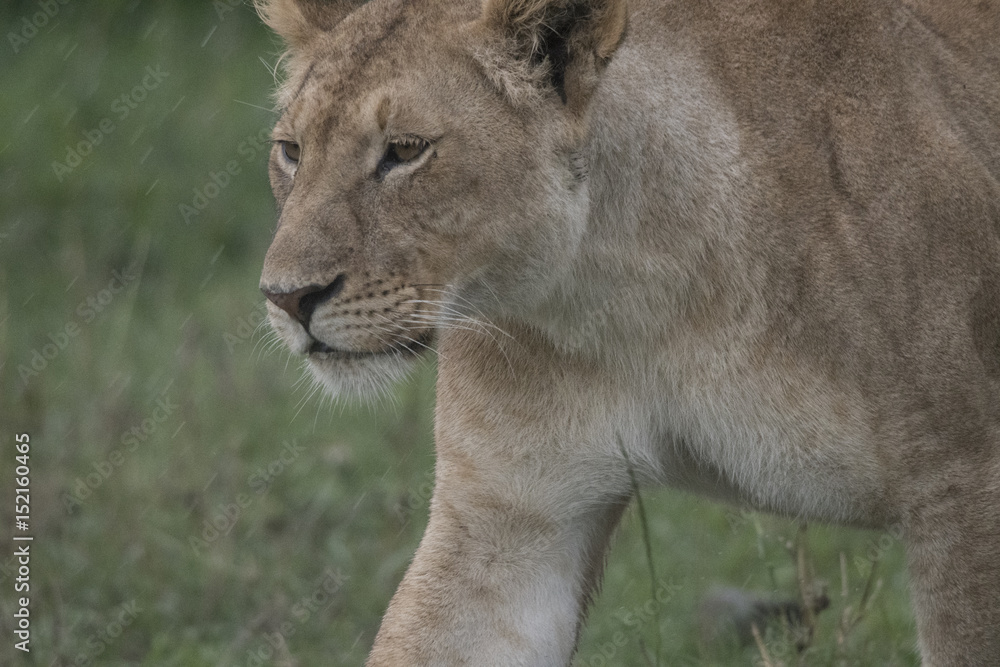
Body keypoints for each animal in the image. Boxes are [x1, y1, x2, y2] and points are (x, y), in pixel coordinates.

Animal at [254, 0, 1000, 664]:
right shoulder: (507, 520)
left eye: (406, 151)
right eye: (291, 152)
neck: (629, 293)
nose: (286, 297)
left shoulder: (961, 489)